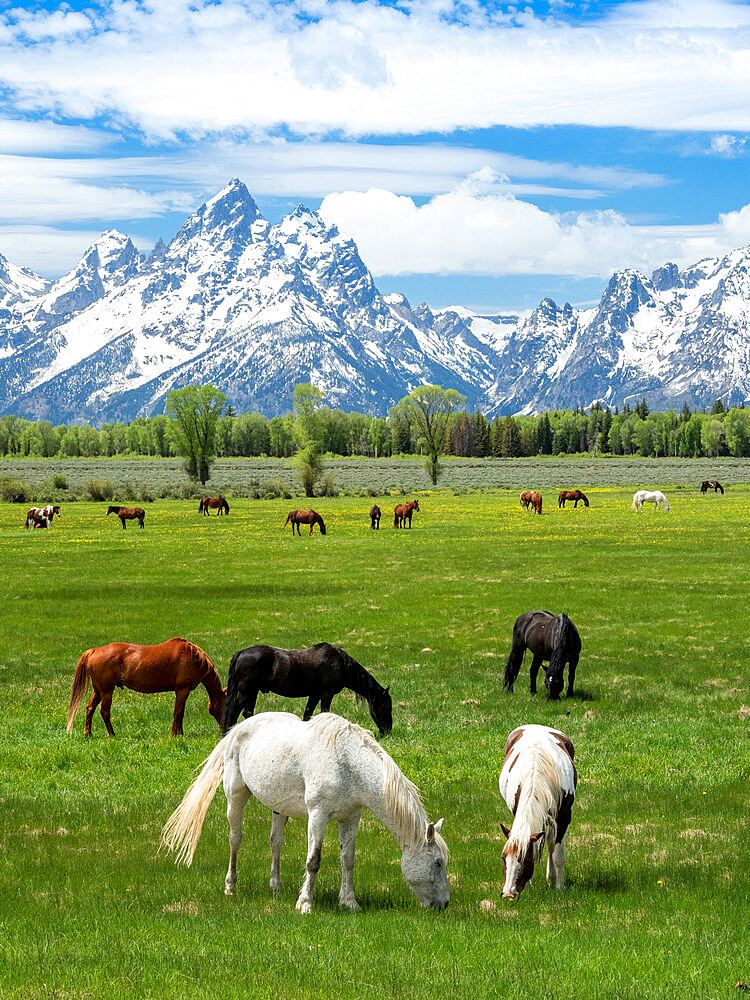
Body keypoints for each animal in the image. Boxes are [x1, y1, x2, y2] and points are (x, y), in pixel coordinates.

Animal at [67, 636, 226, 740]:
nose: (224, 731)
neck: (194, 658)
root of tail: (94, 650)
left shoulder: (182, 692)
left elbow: (180, 714)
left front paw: (179, 734)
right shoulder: (182, 691)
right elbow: (178, 713)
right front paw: (175, 735)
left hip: (98, 690)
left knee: (90, 708)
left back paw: (88, 733)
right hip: (107, 691)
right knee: (105, 712)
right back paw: (112, 735)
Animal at [162, 712, 450, 916]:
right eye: (437, 863)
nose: (444, 904)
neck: (347, 763)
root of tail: (235, 731)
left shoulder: (350, 817)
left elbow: (348, 860)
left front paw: (349, 902)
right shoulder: (318, 815)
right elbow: (314, 861)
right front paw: (305, 903)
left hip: (279, 809)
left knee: (275, 843)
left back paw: (276, 888)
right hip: (236, 797)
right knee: (235, 839)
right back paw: (231, 886)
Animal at [220, 640, 394, 736]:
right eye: (385, 706)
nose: (387, 731)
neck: (341, 664)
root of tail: (240, 653)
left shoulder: (314, 695)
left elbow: (307, 715)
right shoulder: (326, 693)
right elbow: (324, 712)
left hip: (253, 692)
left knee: (247, 713)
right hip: (246, 691)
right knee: (233, 712)